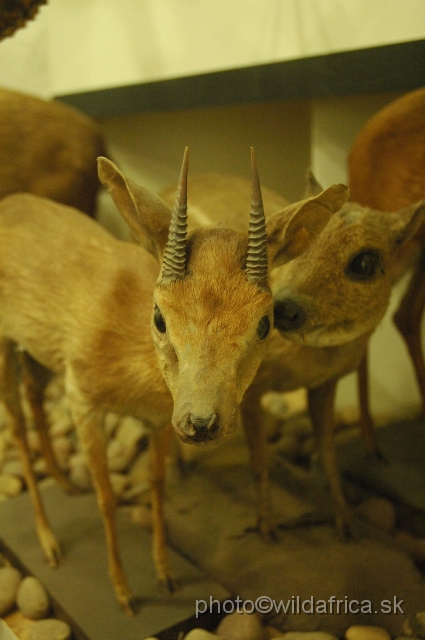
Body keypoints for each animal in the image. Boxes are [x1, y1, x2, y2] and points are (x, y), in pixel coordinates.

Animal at [161, 171, 424, 540]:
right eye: (298, 248)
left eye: (365, 262)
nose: (285, 308)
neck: (305, 363)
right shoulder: (251, 389)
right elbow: (259, 456)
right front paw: (267, 528)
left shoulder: (325, 384)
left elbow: (327, 452)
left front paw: (345, 523)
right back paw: (176, 473)